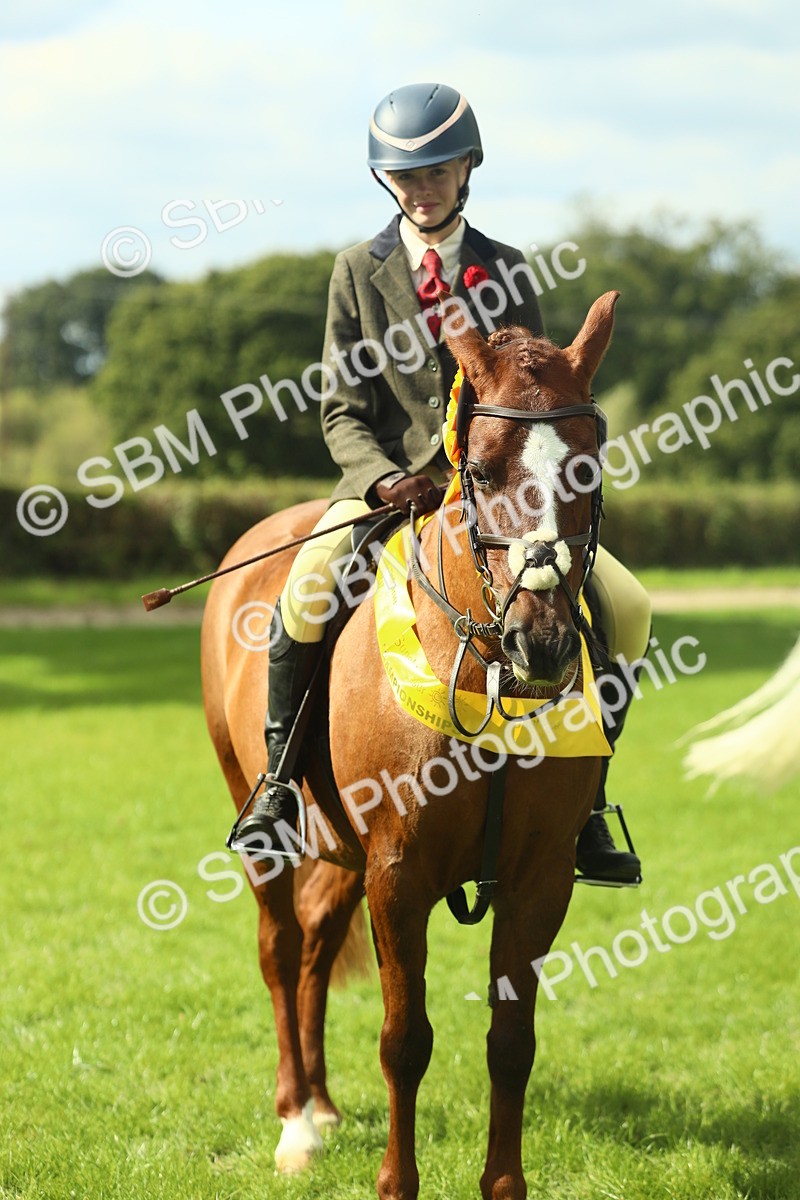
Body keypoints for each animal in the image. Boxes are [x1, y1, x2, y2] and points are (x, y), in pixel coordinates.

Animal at [200, 290, 620, 1200]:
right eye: (483, 472)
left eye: (587, 468)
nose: (542, 646)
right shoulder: (398, 873)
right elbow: (405, 1039)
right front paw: (396, 1183)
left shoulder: (539, 878)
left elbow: (512, 1043)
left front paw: (504, 1186)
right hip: (266, 822)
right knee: (282, 948)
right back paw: (296, 1122)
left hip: (341, 848)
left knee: (318, 940)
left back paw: (322, 1106)